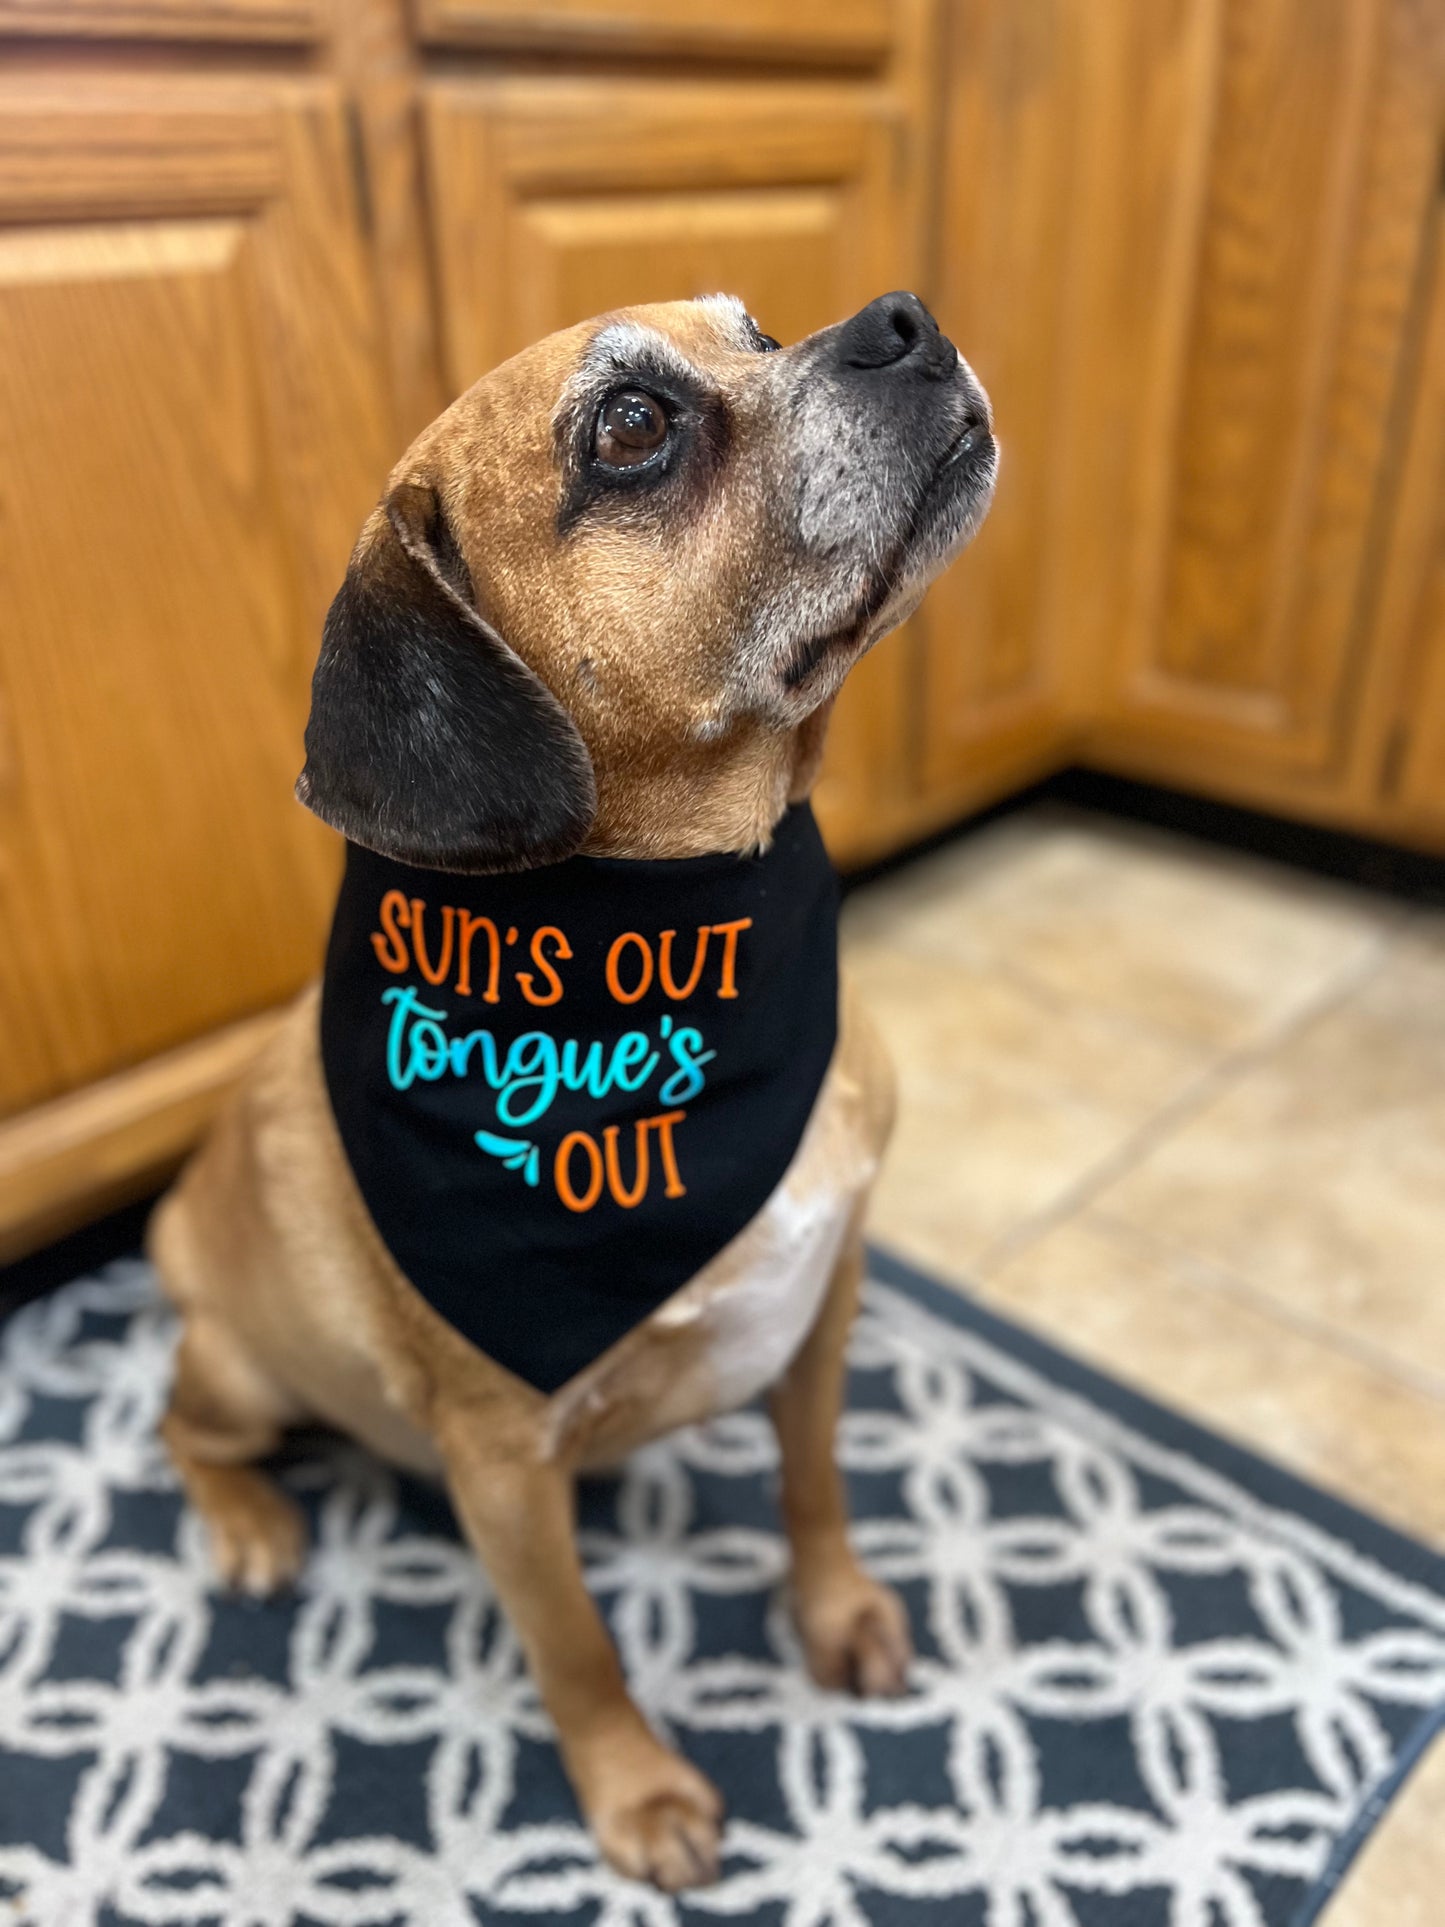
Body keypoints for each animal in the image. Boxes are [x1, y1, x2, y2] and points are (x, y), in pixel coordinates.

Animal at [153, 292, 1001, 1888]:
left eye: (760, 332)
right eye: (630, 429)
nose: (901, 319)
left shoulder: (823, 1304)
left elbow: (815, 1487)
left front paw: (834, 1610)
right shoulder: (499, 1465)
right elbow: (577, 1647)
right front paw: (636, 1792)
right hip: (240, 1369)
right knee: (186, 1428)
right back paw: (246, 1521)